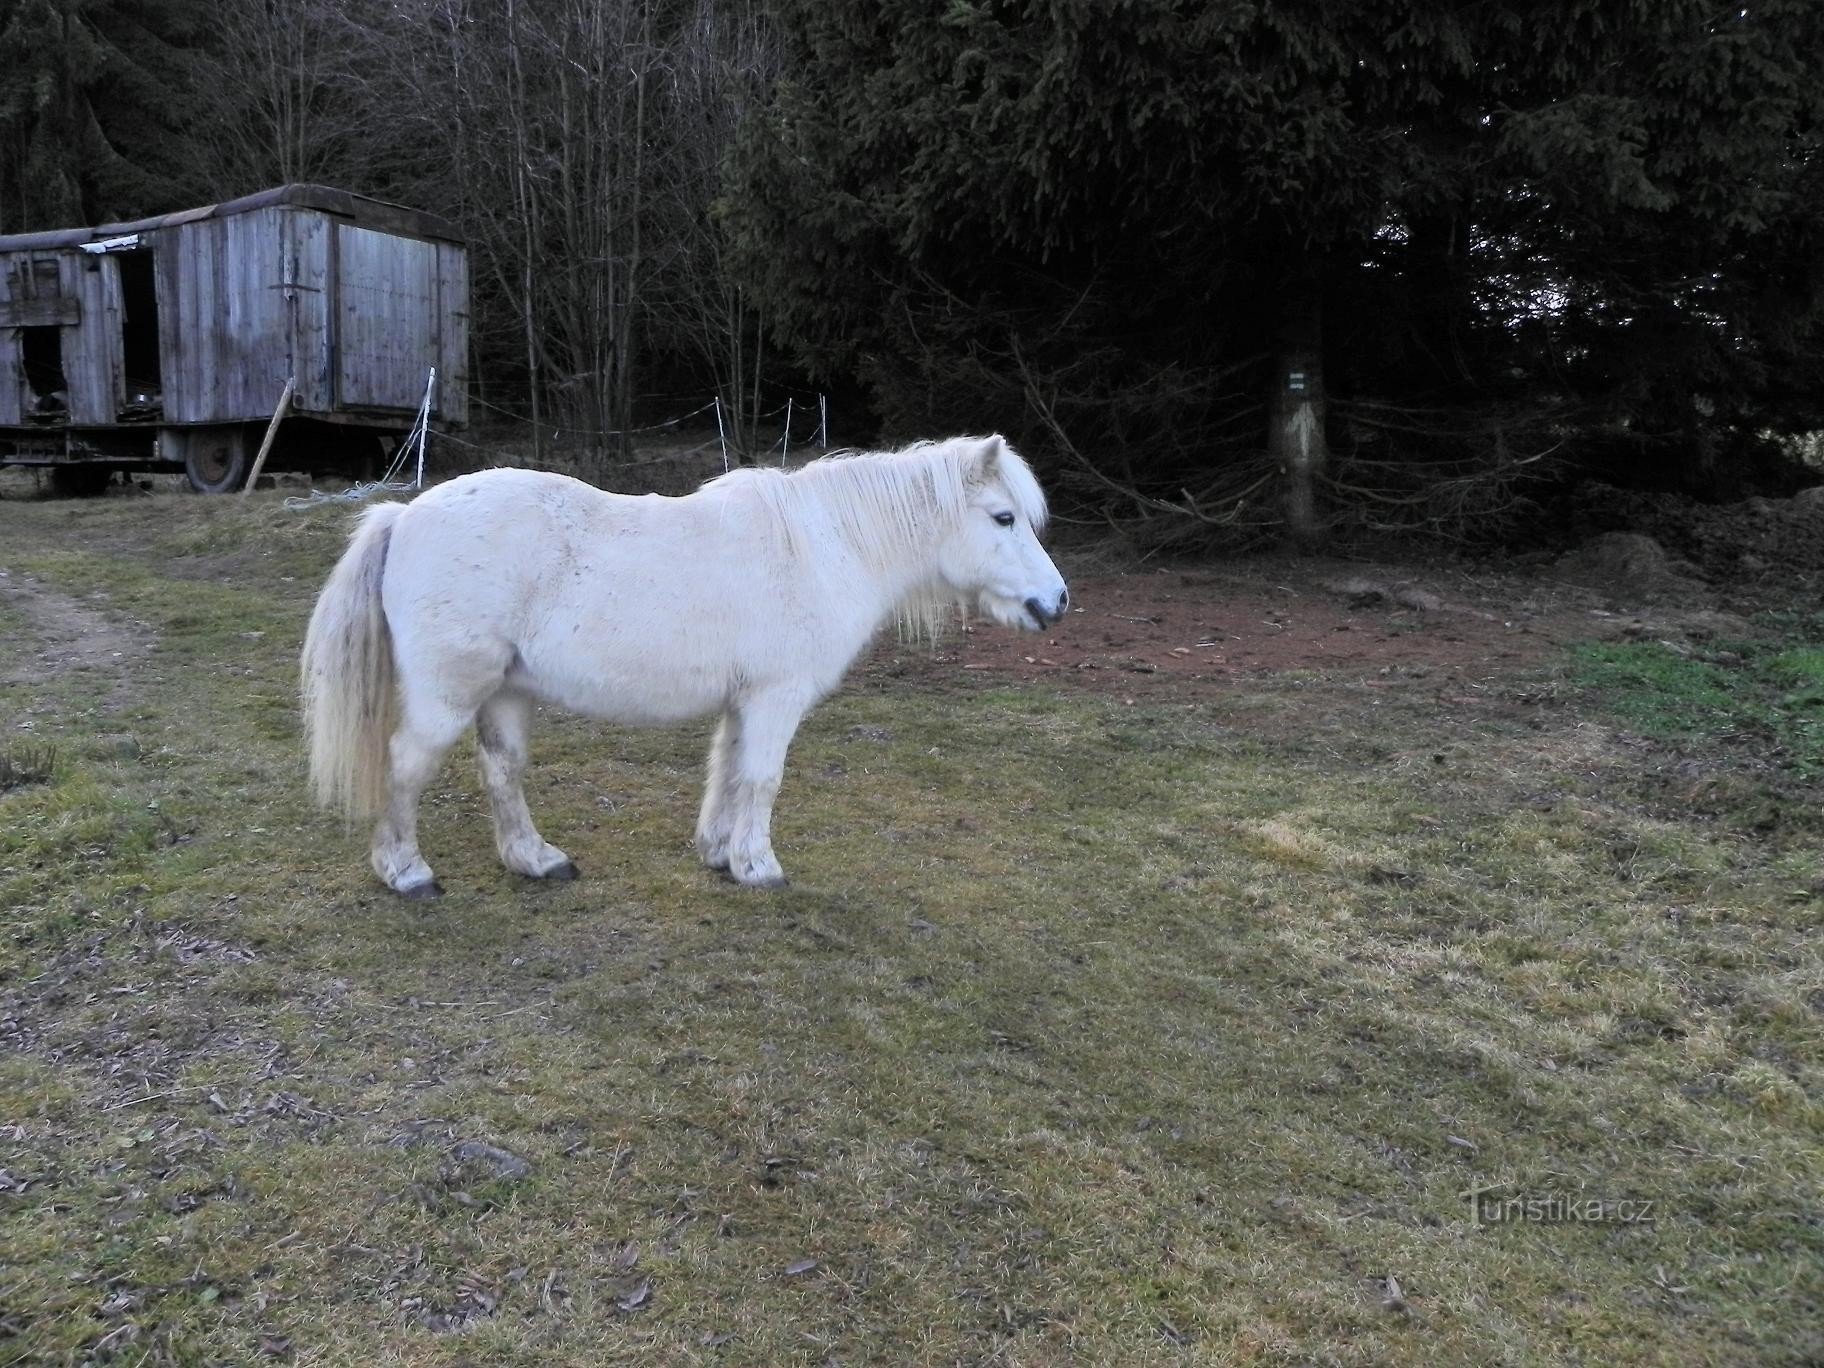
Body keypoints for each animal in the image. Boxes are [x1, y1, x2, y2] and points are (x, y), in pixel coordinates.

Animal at [299, 434, 1065, 893]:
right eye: (1003, 518)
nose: (1055, 601)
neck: (824, 546)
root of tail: (403, 516)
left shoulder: (744, 701)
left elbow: (726, 772)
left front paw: (721, 854)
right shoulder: (775, 700)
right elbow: (762, 779)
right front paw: (758, 866)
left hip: (504, 692)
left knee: (502, 772)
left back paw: (536, 859)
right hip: (448, 696)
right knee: (406, 767)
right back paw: (405, 871)